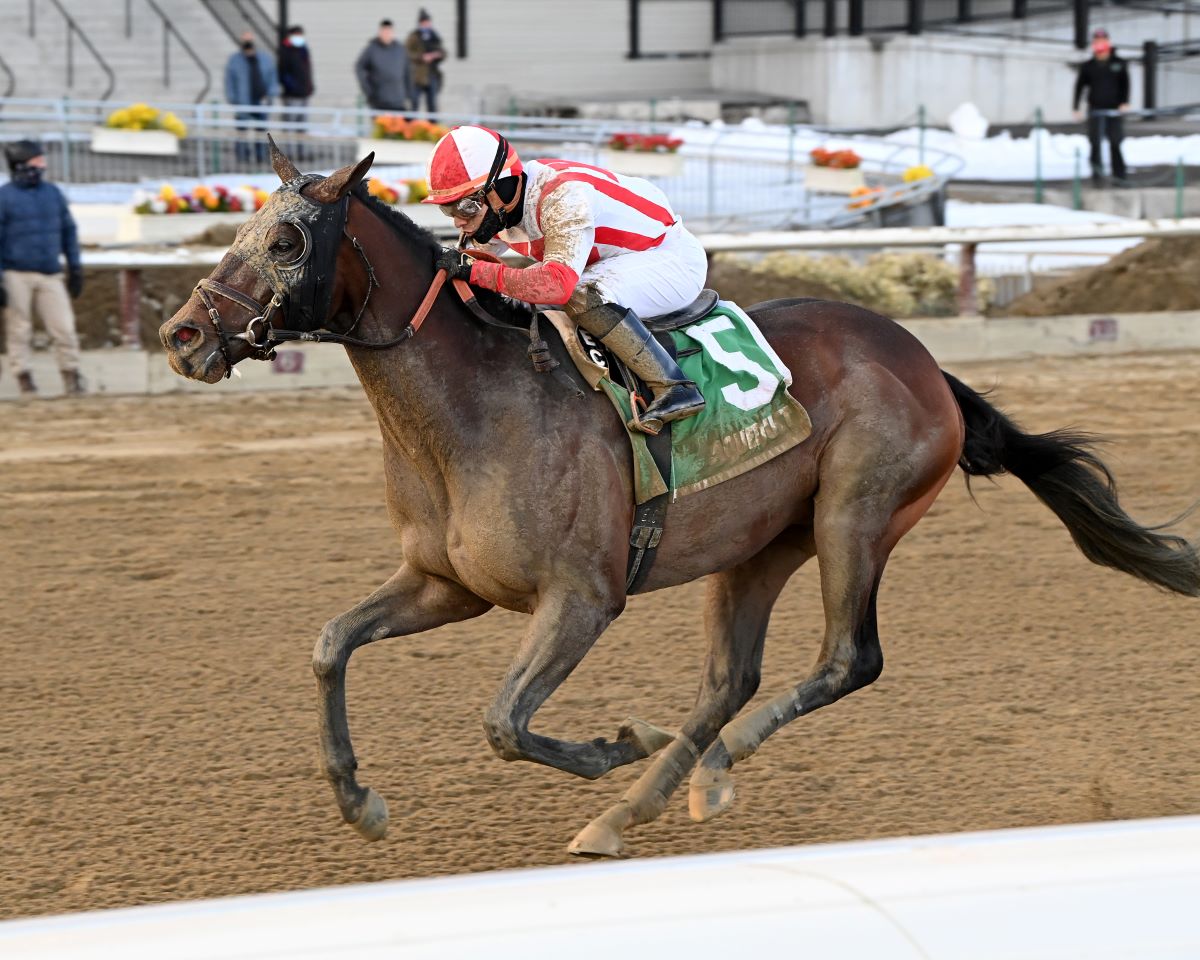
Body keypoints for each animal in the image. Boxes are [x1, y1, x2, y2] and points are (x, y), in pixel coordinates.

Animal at [159, 142, 1200, 854]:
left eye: (286, 237)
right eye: (240, 231)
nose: (181, 335)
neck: (479, 408)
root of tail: (926, 364)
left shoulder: (583, 599)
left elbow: (504, 723)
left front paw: (616, 742)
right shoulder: (445, 584)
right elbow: (330, 644)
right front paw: (357, 801)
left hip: (855, 516)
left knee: (847, 660)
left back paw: (700, 778)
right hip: (759, 542)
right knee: (729, 678)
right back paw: (637, 808)